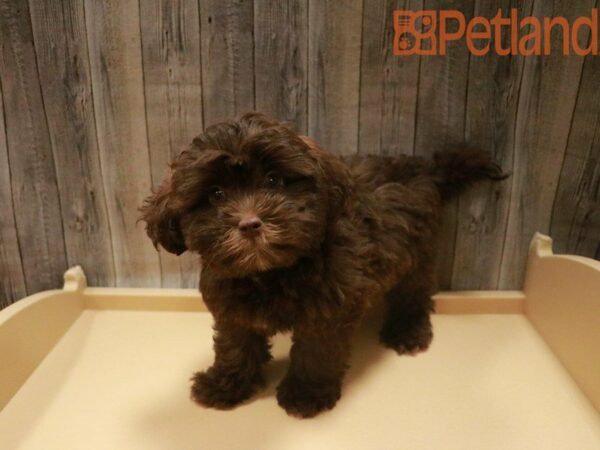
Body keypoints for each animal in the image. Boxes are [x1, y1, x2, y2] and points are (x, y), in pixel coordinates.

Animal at [139, 112, 506, 418]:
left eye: (273, 181)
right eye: (215, 194)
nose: (250, 224)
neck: (272, 271)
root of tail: (426, 170)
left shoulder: (328, 309)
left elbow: (317, 352)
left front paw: (306, 395)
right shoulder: (233, 307)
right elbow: (235, 344)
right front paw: (226, 385)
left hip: (416, 251)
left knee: (413, 292)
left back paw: (408, 331)